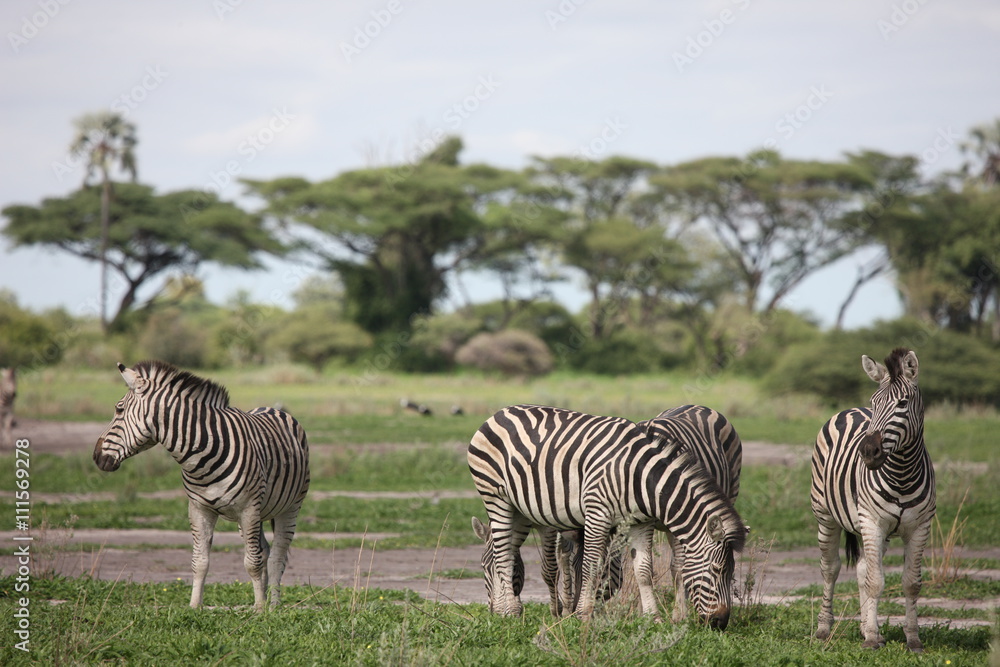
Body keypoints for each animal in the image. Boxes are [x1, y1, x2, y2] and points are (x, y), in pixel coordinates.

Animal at [93, 361, 310, 612]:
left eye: (119, 410)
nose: (96, 457)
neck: (202, 452)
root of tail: (272, 408)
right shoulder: (199, 508)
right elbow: (200, 561)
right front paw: (195, 606)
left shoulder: (248, 508)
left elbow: (252, 562)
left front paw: (258, 610)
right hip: (253, 515)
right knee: (264, 550)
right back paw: (265, 599)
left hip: (290, 506)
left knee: (277, 556)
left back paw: (272, 606)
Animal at [811, 348, 935, 652]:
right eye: (874, 402)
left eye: (902, 402)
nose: (868, 451)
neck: (902, 474)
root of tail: (850, 409)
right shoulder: (872, 521)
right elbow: (876, 582)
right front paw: (870, 640)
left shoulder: (920, 527)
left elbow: (911, 583)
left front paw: (912, 639)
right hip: (826, 516)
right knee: (830, 569)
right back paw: (824, 628)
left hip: (876, 530)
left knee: (862, 569)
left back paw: (869, 628)